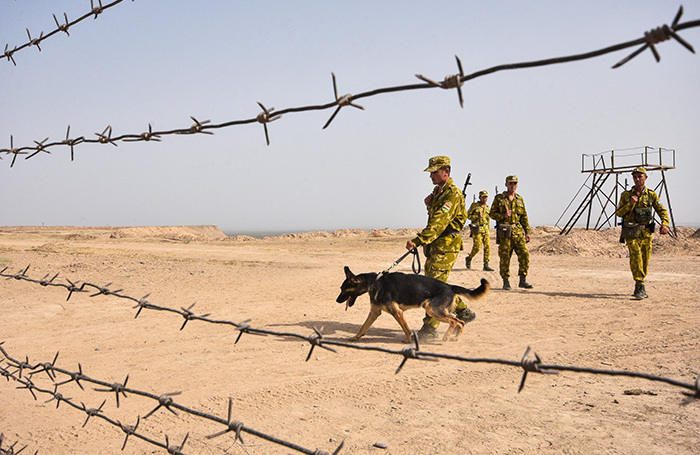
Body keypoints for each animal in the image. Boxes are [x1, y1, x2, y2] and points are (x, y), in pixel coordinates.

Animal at [336, 268, 490, 342]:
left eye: (343, 289)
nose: (337, 301)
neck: (374, 282)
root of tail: (450, 286)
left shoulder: (397, 312)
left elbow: (406, 328)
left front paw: (408, 339)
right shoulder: (375, 312)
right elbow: (363, 327)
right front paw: (355, 337)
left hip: (433, 310)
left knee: (455, 320)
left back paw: (447, 336)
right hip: (437, 310)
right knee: (460, 321)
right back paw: (456, 337)